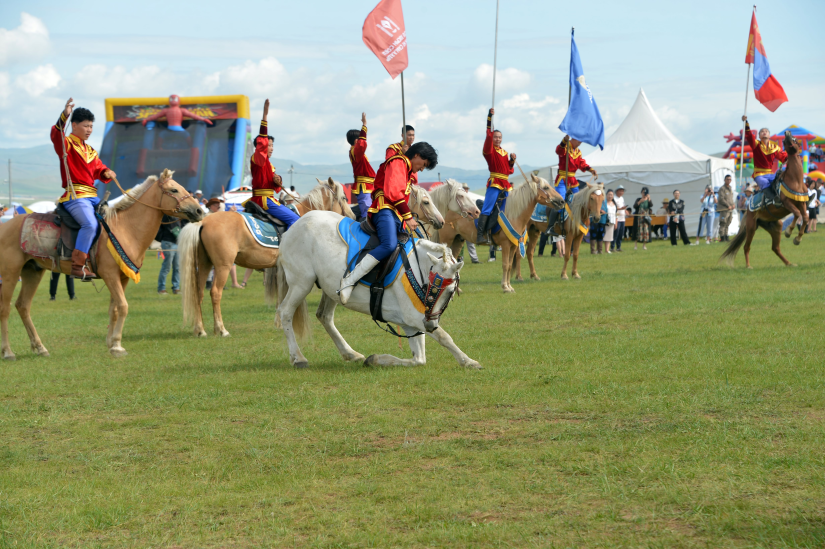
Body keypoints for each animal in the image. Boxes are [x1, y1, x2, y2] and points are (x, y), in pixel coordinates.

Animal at [0, 169, 203, 358]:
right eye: (174, 190)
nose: (199, 211)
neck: (126, 229)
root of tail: (5, 226)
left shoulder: (122, 277)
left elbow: (114, 309)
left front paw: (112, 343)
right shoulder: (110, 275)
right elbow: (123, 306)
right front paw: (118, 346)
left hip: (32, 271)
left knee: (23, 306)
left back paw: (40, 347)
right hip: (10, 273)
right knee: (5, 307)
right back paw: (8, 352)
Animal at [180, 178, 354, 336]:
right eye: (344, 198)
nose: (352, 216)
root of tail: (203, 221)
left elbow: (279, 296)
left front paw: (279, 321)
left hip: (205, 264)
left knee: (198, 292)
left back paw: (200, 330)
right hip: (223, 266)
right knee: (215, 292)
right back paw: (221, 329)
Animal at [274, 210, 480, 368]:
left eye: (450, 291)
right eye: (430, 285)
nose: (430, 324)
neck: (414, 268)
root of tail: (294, 226)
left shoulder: (410, 322)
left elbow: (419, 359)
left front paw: (375, 359)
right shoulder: (413, 317)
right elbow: (444, 337)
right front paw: (468, 361)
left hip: (329, 289)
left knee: (324, 316)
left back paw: (351, 354)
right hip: (301, 283)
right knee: (285, 312)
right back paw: (298, 358)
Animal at [716, 133, 808, 270]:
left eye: (795, 140)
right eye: (787, 141)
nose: (787, 133)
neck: (795, 181)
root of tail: (747, 210)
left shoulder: (801, 203)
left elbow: (805, 218)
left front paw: (797, 239)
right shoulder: (787, 203)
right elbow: (797, 214)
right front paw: (789, 232)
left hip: (775, 227)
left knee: (775, 248)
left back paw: (789, 263)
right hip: (751, 227)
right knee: (746, 247)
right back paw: (748, 266)